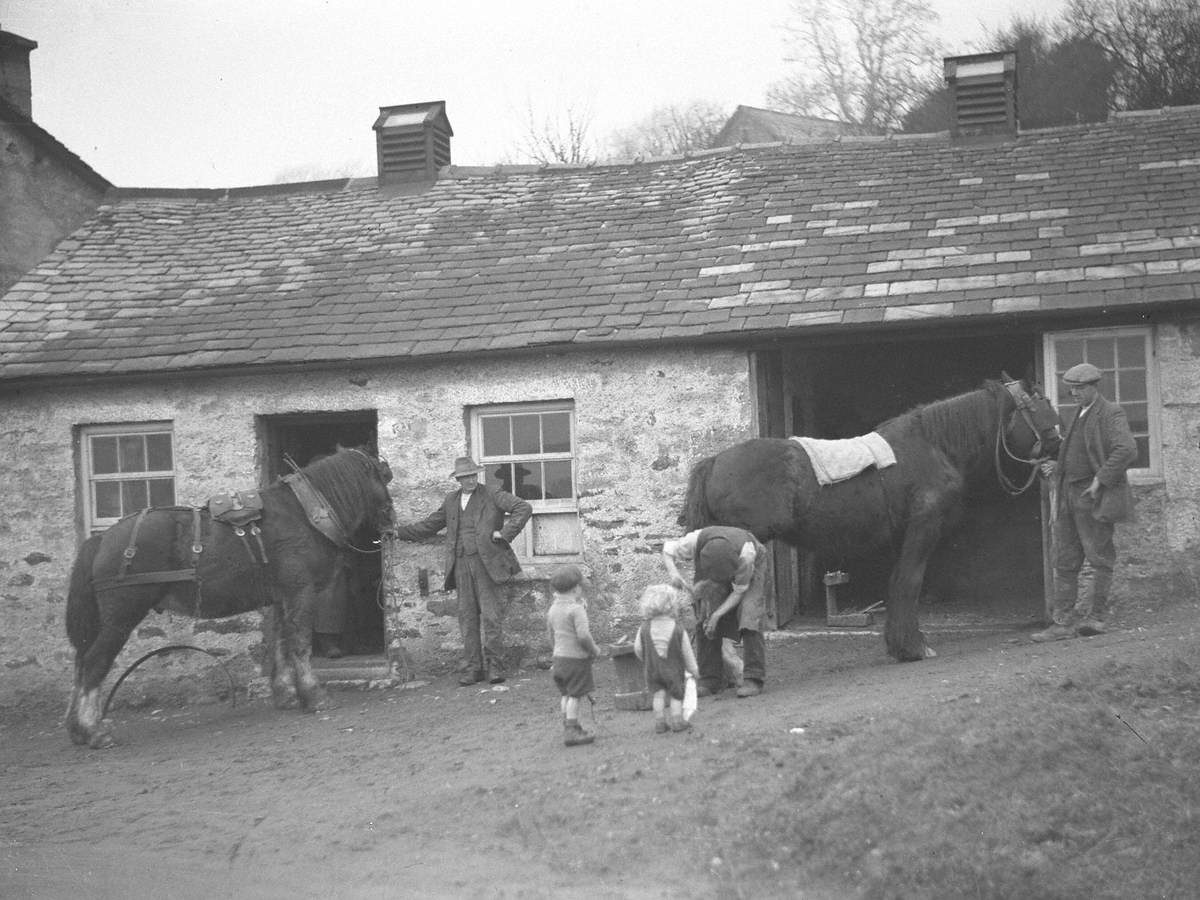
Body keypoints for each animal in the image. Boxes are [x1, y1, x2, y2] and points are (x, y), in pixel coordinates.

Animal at [64, 448, 393, 748]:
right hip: (121, 618)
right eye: (383, 475)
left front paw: (286, 694)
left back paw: (77, 729)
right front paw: (314, 695)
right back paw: (94, 730)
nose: (391, 516)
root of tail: (102, 539)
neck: (304, 515)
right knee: (94, 663)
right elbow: (300, 644)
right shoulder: (301, 592)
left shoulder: (282, 597)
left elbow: (281, 644)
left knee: (81, 662)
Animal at [681, 379, 1065, 662]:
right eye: (1043, 410)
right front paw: (914, 648)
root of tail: (714, 462)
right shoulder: (923, 529)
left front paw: (898, 645)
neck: (933, 446)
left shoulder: (901, 537)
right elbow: (910, 583)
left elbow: (897, 583)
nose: (1058, 446)